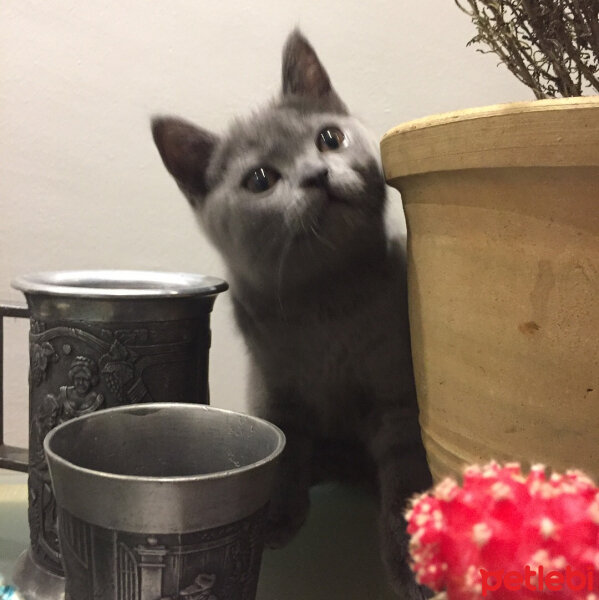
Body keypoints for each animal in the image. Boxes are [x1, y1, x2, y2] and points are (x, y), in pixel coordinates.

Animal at [150, 30, 432, 596]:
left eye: (329, 138)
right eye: (261, 179)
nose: (318, 174)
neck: (326, 303)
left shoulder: (397, 393)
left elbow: (406, 470)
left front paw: (409, 554)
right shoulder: (276, 388)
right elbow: (283, 450)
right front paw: (276, 516)